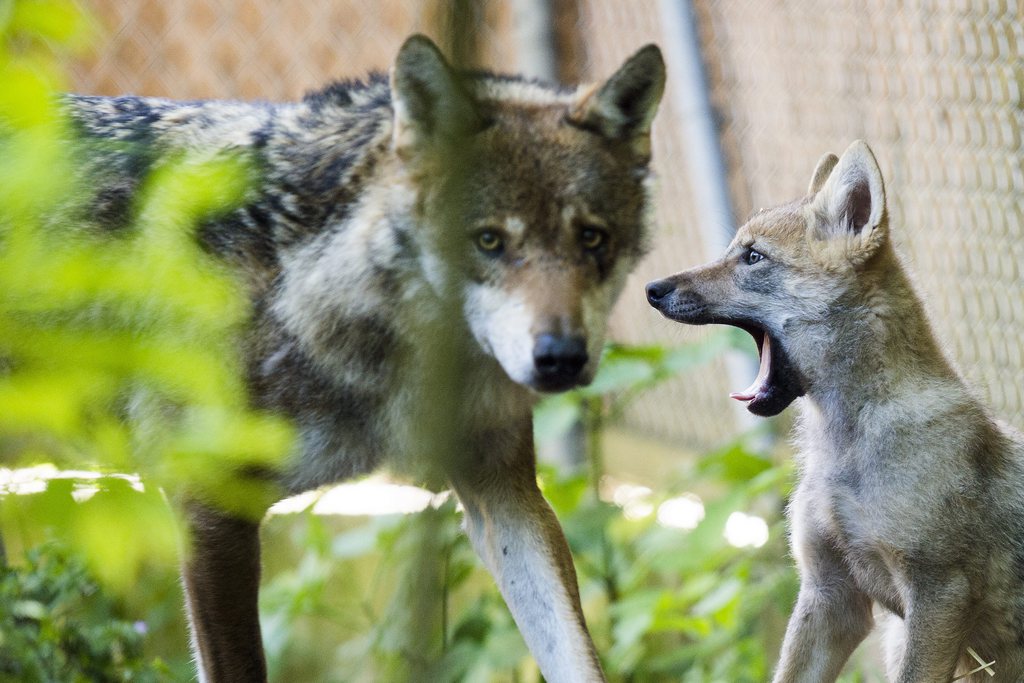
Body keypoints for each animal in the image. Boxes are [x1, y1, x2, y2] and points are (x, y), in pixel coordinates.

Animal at [66, 34, 671, 679]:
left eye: (592, 238)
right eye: (489, 241)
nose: (560, 357)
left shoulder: (506, 496)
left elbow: (572, 651)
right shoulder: (209, 508)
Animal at [647, 140, 1024, 683]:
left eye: (753, 257)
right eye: (735, 251)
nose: (651, 289)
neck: (844, 449)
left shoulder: (938, 594)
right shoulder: (831, 595)